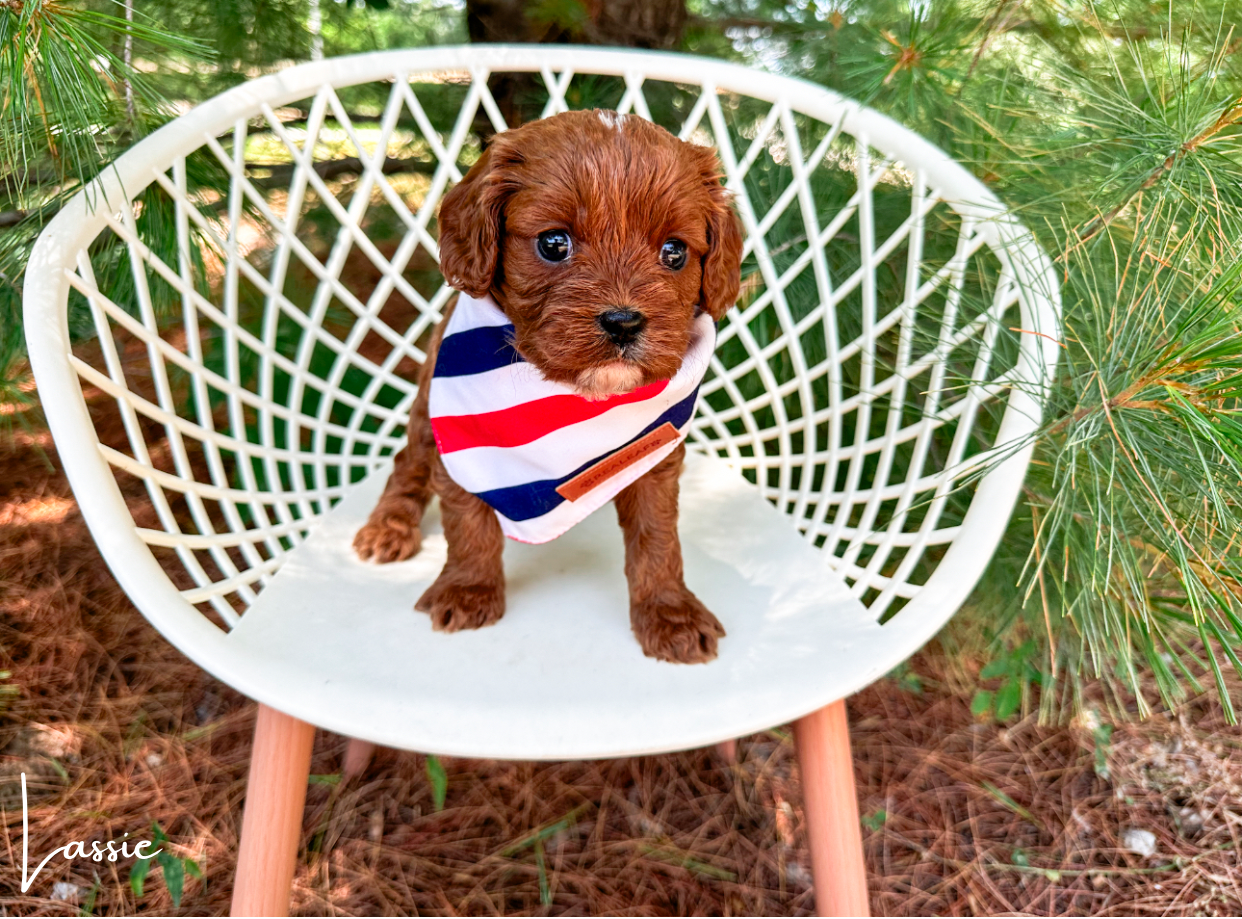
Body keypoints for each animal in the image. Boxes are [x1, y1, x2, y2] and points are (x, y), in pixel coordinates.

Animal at [352, 111, 735, 665]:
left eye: (675, 252)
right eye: (554, 244)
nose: (624, 322)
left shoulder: (654, 454)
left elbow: (658, 539)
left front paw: (669, 612)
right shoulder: (466, 447)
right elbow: (468, 525)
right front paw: (468, 590)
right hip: (427, 413)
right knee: (408, 464)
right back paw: (388, 525)